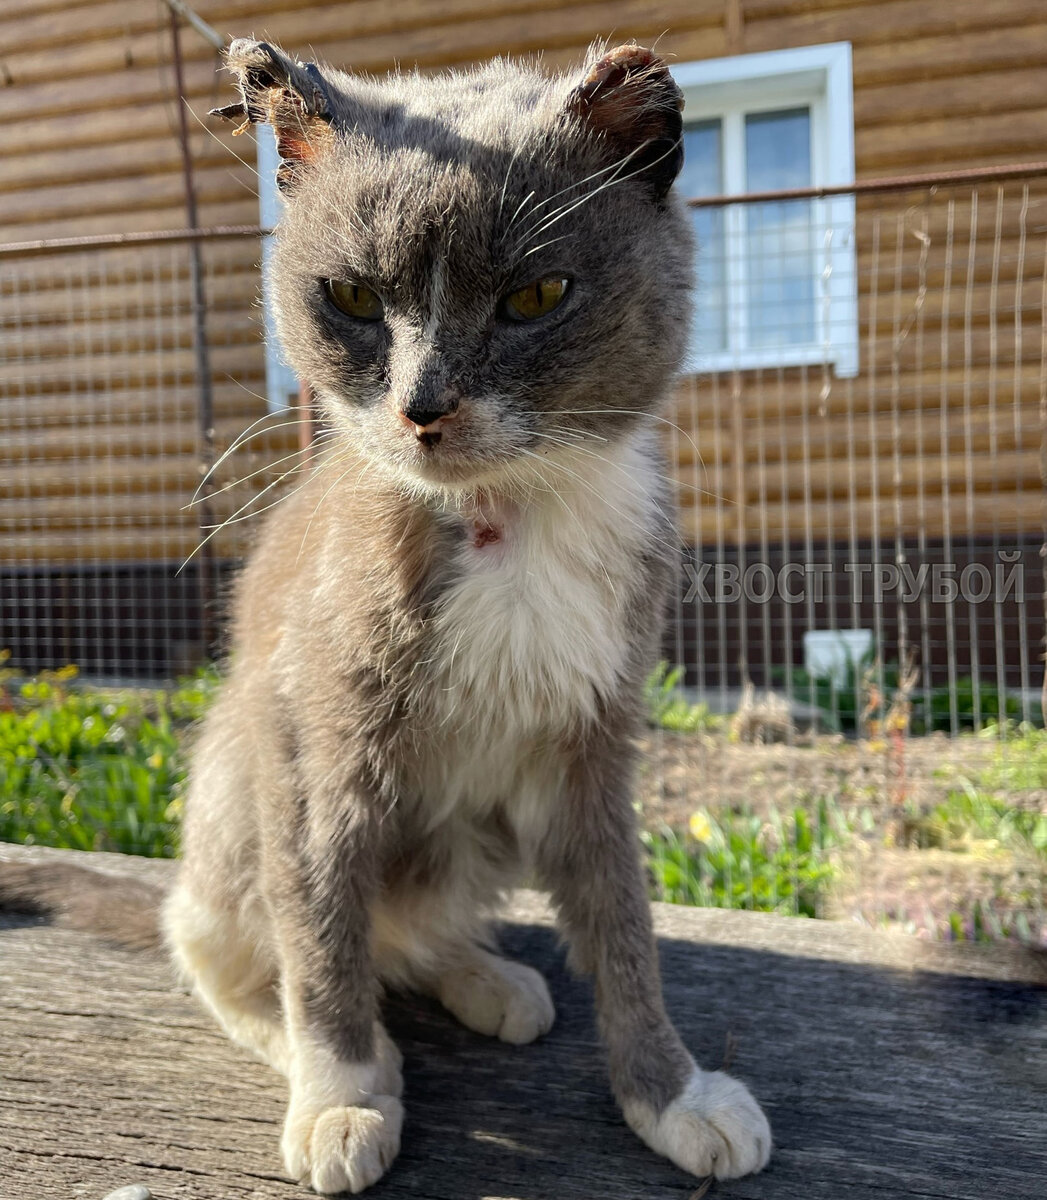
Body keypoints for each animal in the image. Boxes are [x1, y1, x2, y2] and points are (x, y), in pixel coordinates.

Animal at [2, 42, 768, 1195]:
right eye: (354, 297)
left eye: (536, 293)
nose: (423, 406)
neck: (501, 519)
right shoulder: (316, 741)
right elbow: (320, 928)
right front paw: (342, 1095)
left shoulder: (594, 737)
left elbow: (623, 923)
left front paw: (672, 1095)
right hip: (233, 757)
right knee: (219, 938)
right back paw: (315, 1037)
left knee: (407, 925)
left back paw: (485, 977)